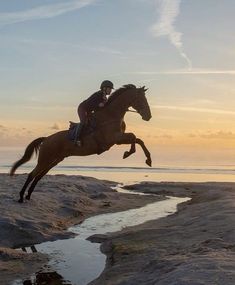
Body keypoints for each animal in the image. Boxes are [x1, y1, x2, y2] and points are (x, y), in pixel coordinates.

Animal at [10, 84, 152, 202]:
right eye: (141, 99)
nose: (148, 116)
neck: (111, 115)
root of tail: (46, 139)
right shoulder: (114, 138)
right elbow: (134, 137)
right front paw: (128, 153)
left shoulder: (118, 140)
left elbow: (138, 139)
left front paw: (148, 160)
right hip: (45, 159)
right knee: (32, 174)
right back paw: (21, 197)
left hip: (55, 160)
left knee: (39, 176)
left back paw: (28, 195)